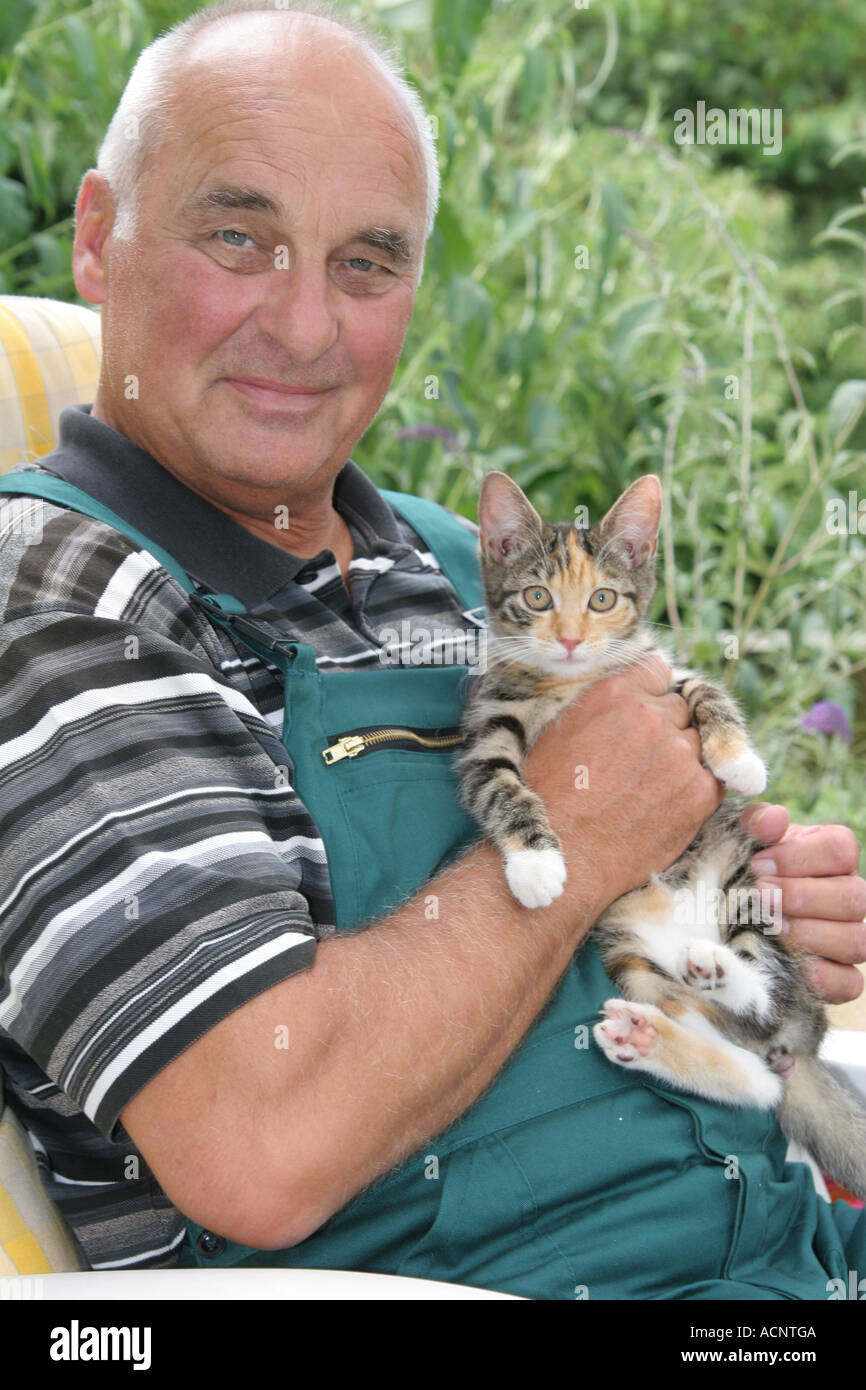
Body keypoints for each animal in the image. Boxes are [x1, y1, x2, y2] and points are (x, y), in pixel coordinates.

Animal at [464, 469, 866, 1195]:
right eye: (537, 597)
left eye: (602, 599)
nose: (570, 639)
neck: (570, 680)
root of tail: (802, 1041)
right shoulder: (489, 727)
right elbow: (501, 786)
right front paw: (535, 867)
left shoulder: (659, 669)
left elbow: (707, 691)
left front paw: (739, 758)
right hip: (633, 963)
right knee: (756, 1074)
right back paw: (653, 1034)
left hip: (746, 892)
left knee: (765, 998)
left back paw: (721, 968)